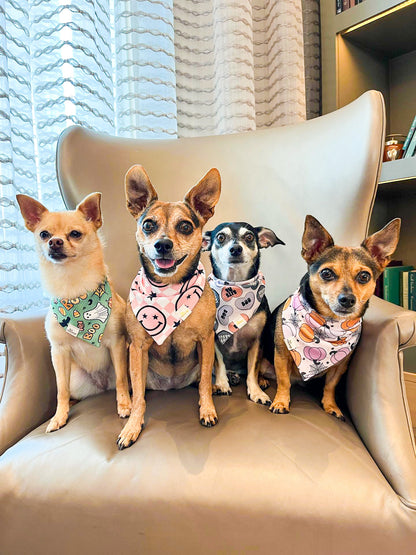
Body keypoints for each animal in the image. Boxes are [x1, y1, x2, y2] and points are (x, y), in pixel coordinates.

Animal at [16, 193, 131, 432]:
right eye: (44, 234)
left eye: (75, 234)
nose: (55, 242)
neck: (73, 287)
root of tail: (101, 386)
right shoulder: (59, 353)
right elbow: (61, 389)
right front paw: (59, 416)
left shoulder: (117, 344)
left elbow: (121, 380)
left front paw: (125, 405)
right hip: (76, 379)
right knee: (70, 392)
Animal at [117, 165, 221, 452]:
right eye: (148, 225)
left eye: (185, 226)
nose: (162, 244)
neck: (169, 288)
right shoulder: (137, 347)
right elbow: (138, 399)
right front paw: (132, 426)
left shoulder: (206, 339)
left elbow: (205, 381)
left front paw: (207, 409)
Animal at [203, 222, 284, 404]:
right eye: (220, 237)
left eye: (249, 236)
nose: (235, 249)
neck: (235, 284)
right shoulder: (214, 338)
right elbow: (219, 364)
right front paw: (222, 384)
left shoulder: (257, 341)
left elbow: (252, 370)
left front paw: (256, 391)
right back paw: (231, 377)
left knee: (257, 369)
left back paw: (260, 380)